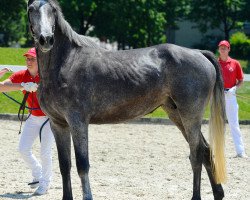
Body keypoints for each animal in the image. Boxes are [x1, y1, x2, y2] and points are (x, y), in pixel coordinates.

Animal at [26, 0, 227, 200]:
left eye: (52, 10)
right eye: (31, 9)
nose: (46, 39)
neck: (66, 62)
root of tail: (199, 53)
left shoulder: (78, 122)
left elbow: (82, 165)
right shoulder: (58, 124)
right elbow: (64, 165)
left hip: (190, 115)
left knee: (196, 153)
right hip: (177, 114)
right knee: (206, 150)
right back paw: (218, 193)